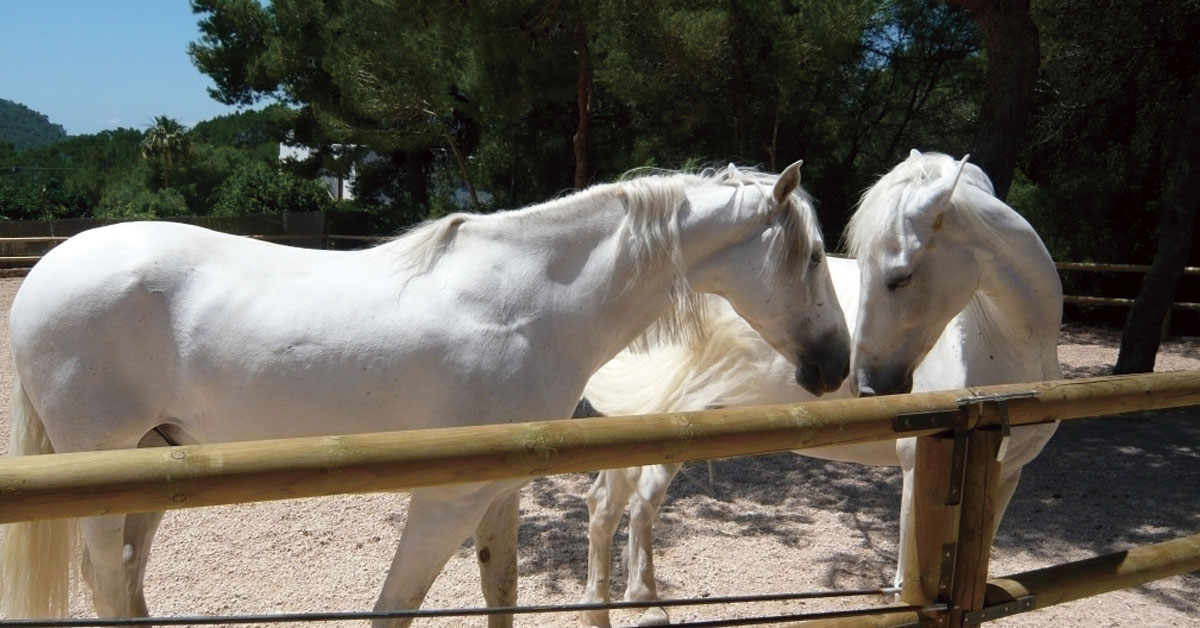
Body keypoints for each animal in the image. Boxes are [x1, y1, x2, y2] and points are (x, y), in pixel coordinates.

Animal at [0, 159, 849, 624]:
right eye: (811, 257)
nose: (837, 366)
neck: (528, 304)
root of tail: (47, 271)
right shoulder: (447, 497)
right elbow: (394, 609)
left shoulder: (500, 491)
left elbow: (501, 592)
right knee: (108, 583)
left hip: (152, 467)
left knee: (126, 582)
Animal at [578, 152, 1060, 628]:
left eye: (899, 278)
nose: (867, 386)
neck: (1007, 343)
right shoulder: (918, 469)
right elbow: (908, 582)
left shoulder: (1007, 473)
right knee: (639, 505)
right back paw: (646, 606)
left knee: (608, 505)